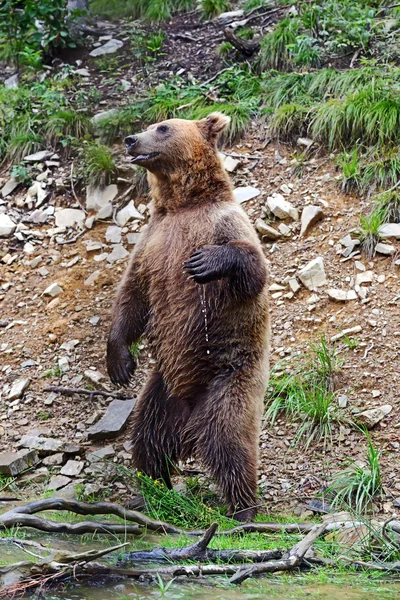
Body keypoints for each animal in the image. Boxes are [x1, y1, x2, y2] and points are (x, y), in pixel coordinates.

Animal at [107, 112, 268, 520]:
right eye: (150, 126)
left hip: (230, 379)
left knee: (231, 442)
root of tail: (189, 425)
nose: (131, 139)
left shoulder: (223, 224)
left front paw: (206, 262)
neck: (181, 205)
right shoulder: (151, 243)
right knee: (148, 439)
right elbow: (132, 298)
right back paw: (151, 490)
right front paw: (119, 362)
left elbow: (253, 269)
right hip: (161, 392)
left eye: (163, 127)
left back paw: (244, 510)